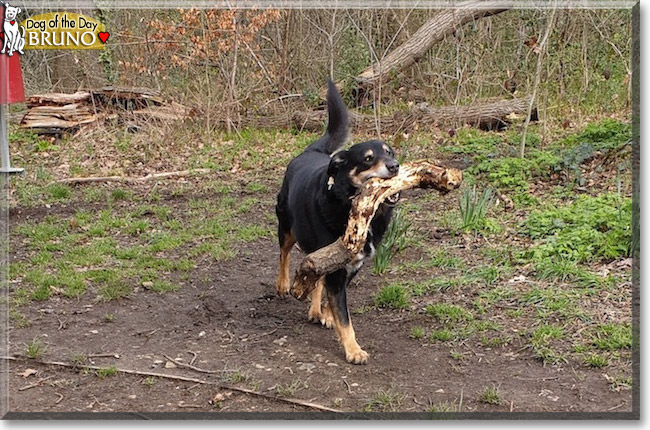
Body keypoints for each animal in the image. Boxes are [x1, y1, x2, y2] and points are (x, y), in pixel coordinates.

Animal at [272, 80, 398, 362]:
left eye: (390, 152)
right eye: (368, 158)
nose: (395, 166)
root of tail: (314, 150)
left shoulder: (351, 265)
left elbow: (335, 303)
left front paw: (328, 315)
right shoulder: (337, 269)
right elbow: (345, 318)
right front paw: (354, 350)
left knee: (314, 276)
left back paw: (316, 311)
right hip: (287, 226)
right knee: (284, 253)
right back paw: (283, 284)